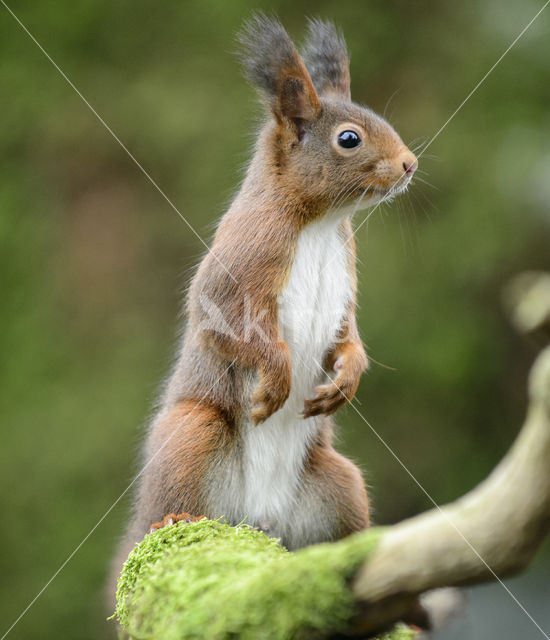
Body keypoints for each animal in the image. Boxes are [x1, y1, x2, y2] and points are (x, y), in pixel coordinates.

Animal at [114, 15, 420, 584]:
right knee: (167, 509)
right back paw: (170, 518)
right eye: (349, 139)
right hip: (192, 437)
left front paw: (347, 376)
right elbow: (226, 322)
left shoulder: (345, 280)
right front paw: (277, 377)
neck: (319, 223)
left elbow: (347, 332)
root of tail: (259, 516)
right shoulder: (242, 262)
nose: (410, 165)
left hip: (338, 484)